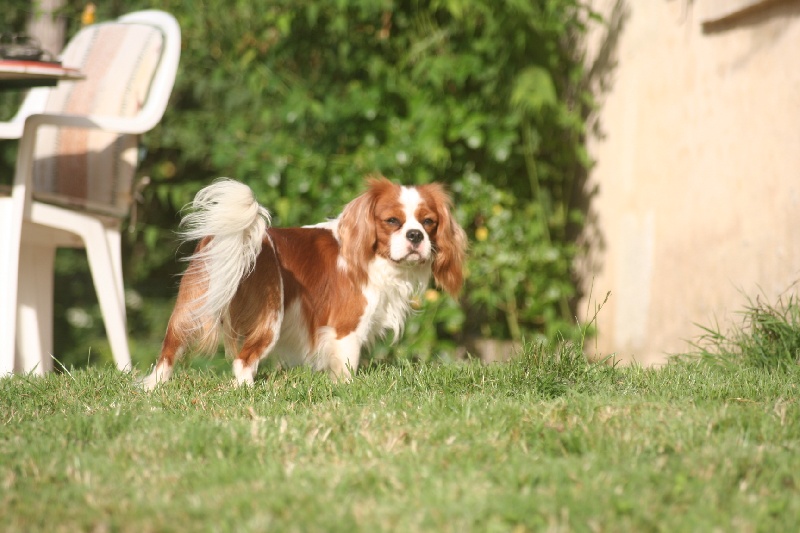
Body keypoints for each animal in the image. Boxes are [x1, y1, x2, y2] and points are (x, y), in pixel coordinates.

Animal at [142, 177, 468, 388]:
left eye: (428, 222)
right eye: (392, 222)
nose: (415, 236)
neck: (373, 257)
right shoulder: (346, 328)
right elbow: (347, 364)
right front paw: (346, 390)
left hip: (194, 304)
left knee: (169, 349)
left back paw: (152, 387)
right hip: (270, 317)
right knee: (243, 360)